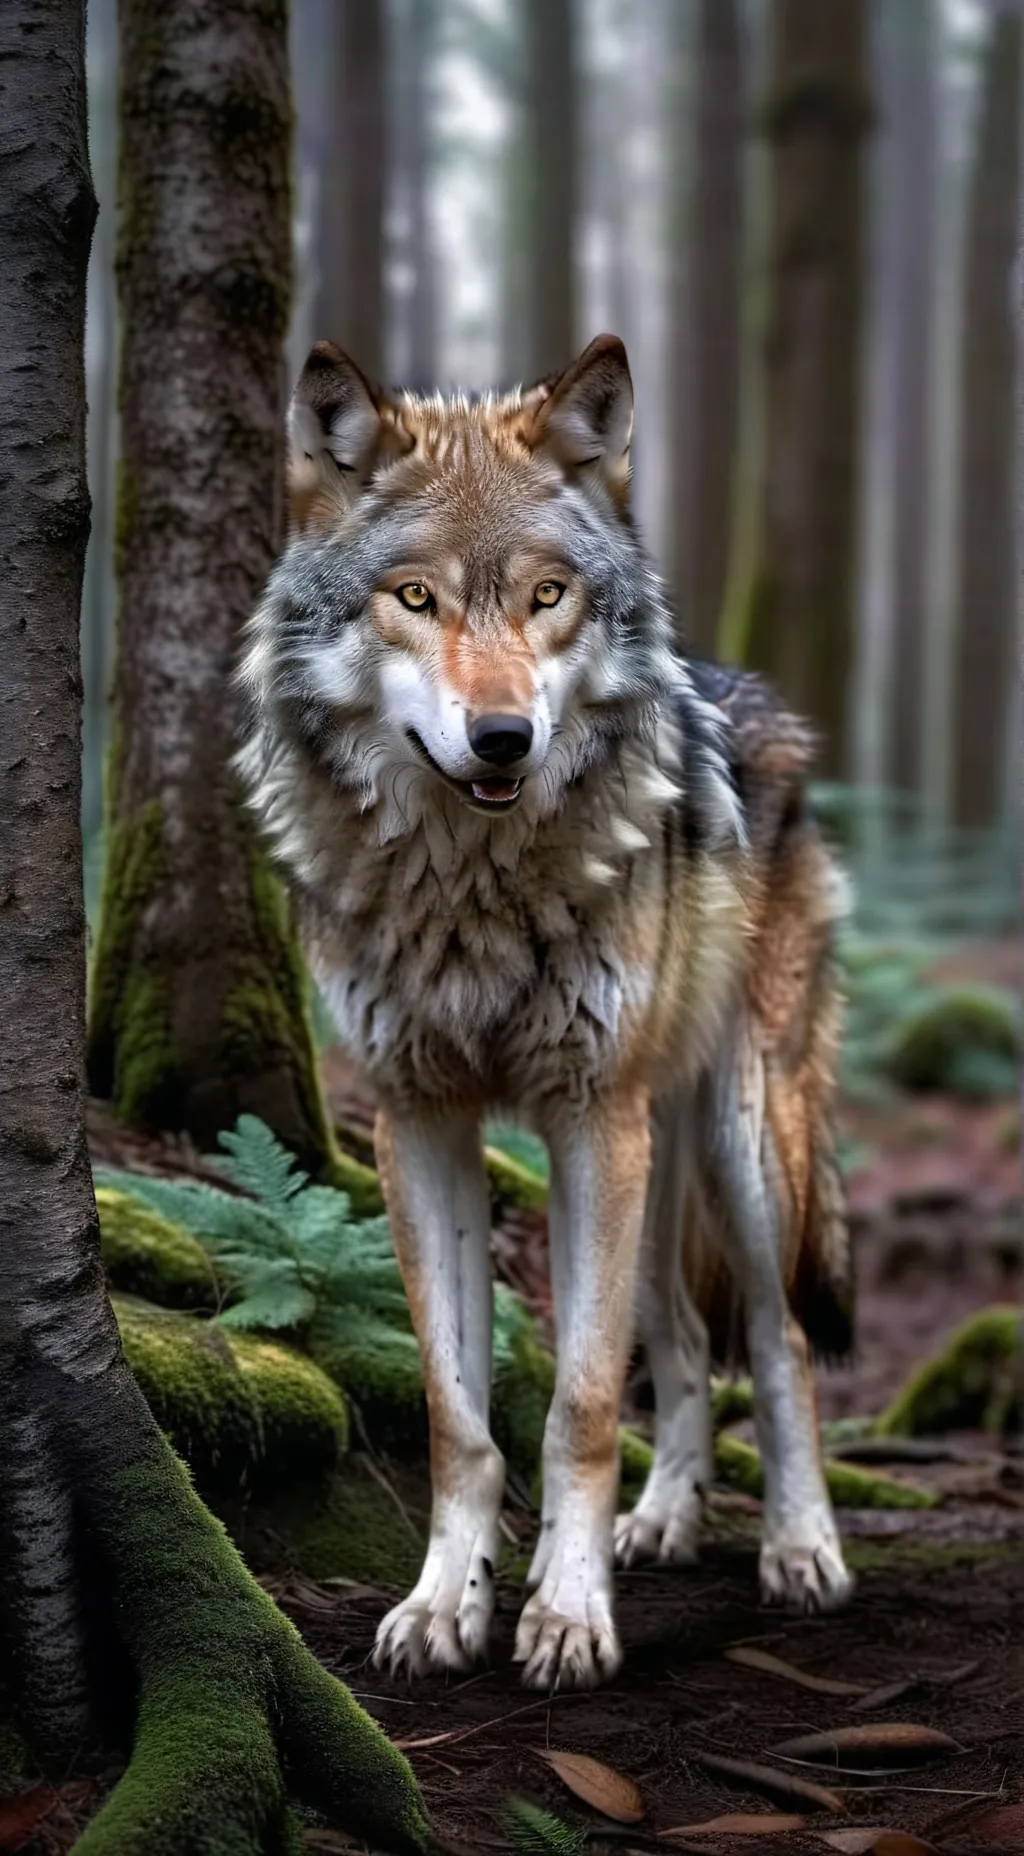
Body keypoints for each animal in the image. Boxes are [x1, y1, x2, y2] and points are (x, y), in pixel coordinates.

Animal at [238, 334, 855, 1693]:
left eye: (548, 596)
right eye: (413, 598)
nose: (504, 735)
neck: (471, 888)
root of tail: (756, 696)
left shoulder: (587, 1117)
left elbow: (577, 1403)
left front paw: (567, 1613)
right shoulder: (417, 1118)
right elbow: (456, 1413)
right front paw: (445, 1603)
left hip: (731, 1134)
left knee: (777, 1338)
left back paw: (800, 1549)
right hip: (657, 1140)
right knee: (678, 1333)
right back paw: (667, 1516)